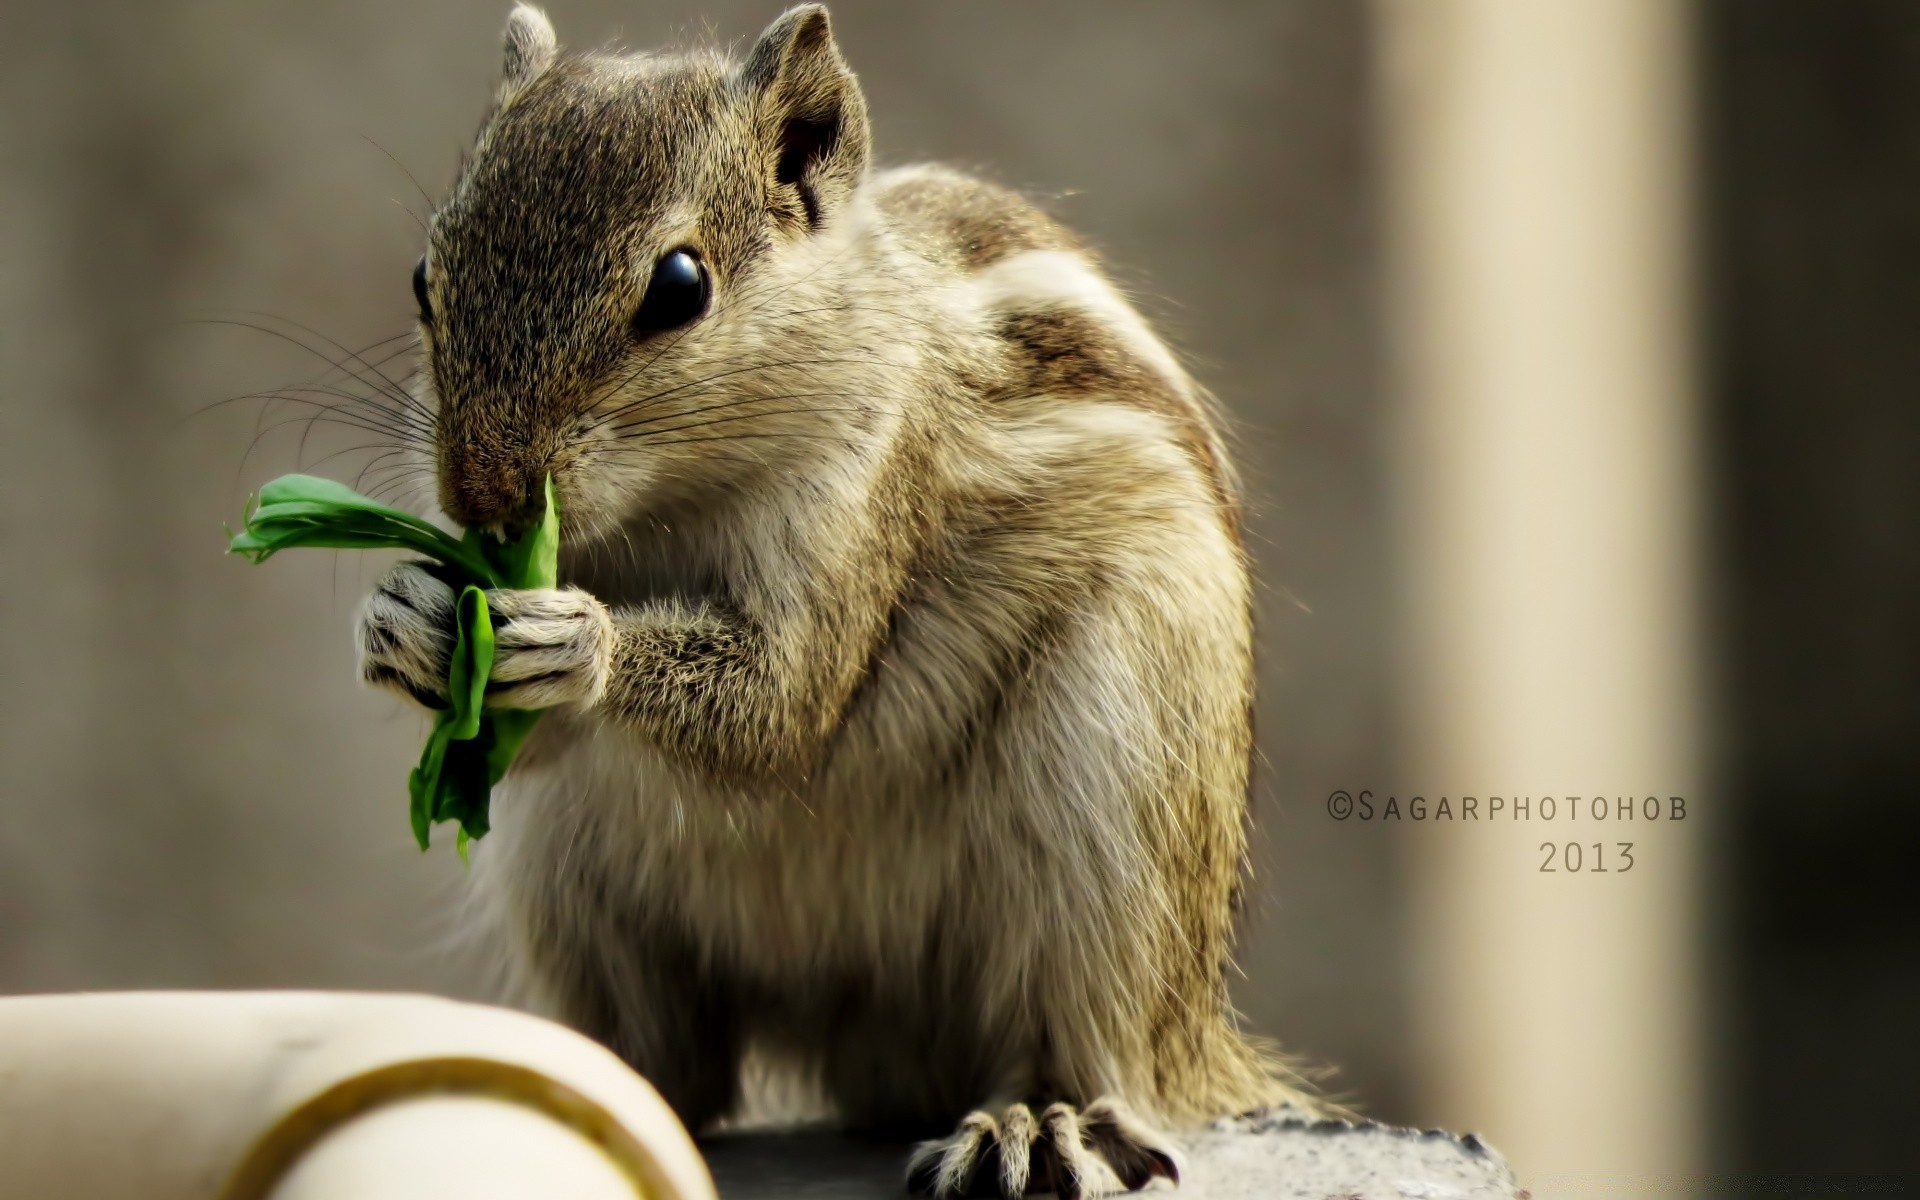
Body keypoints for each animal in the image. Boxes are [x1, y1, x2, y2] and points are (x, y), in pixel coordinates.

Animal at [357, 4, 1320, 1190]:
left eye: (679, 286)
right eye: (422, 277)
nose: (480, 497)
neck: (677, 503)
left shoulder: (862, 499)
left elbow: (781, 703)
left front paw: (580, 642)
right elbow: (519, 738)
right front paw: (402, 617)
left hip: (1115, 801)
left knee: (1081, 1043)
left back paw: (1032, 1123)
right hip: (565, 879)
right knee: (678, 1075)